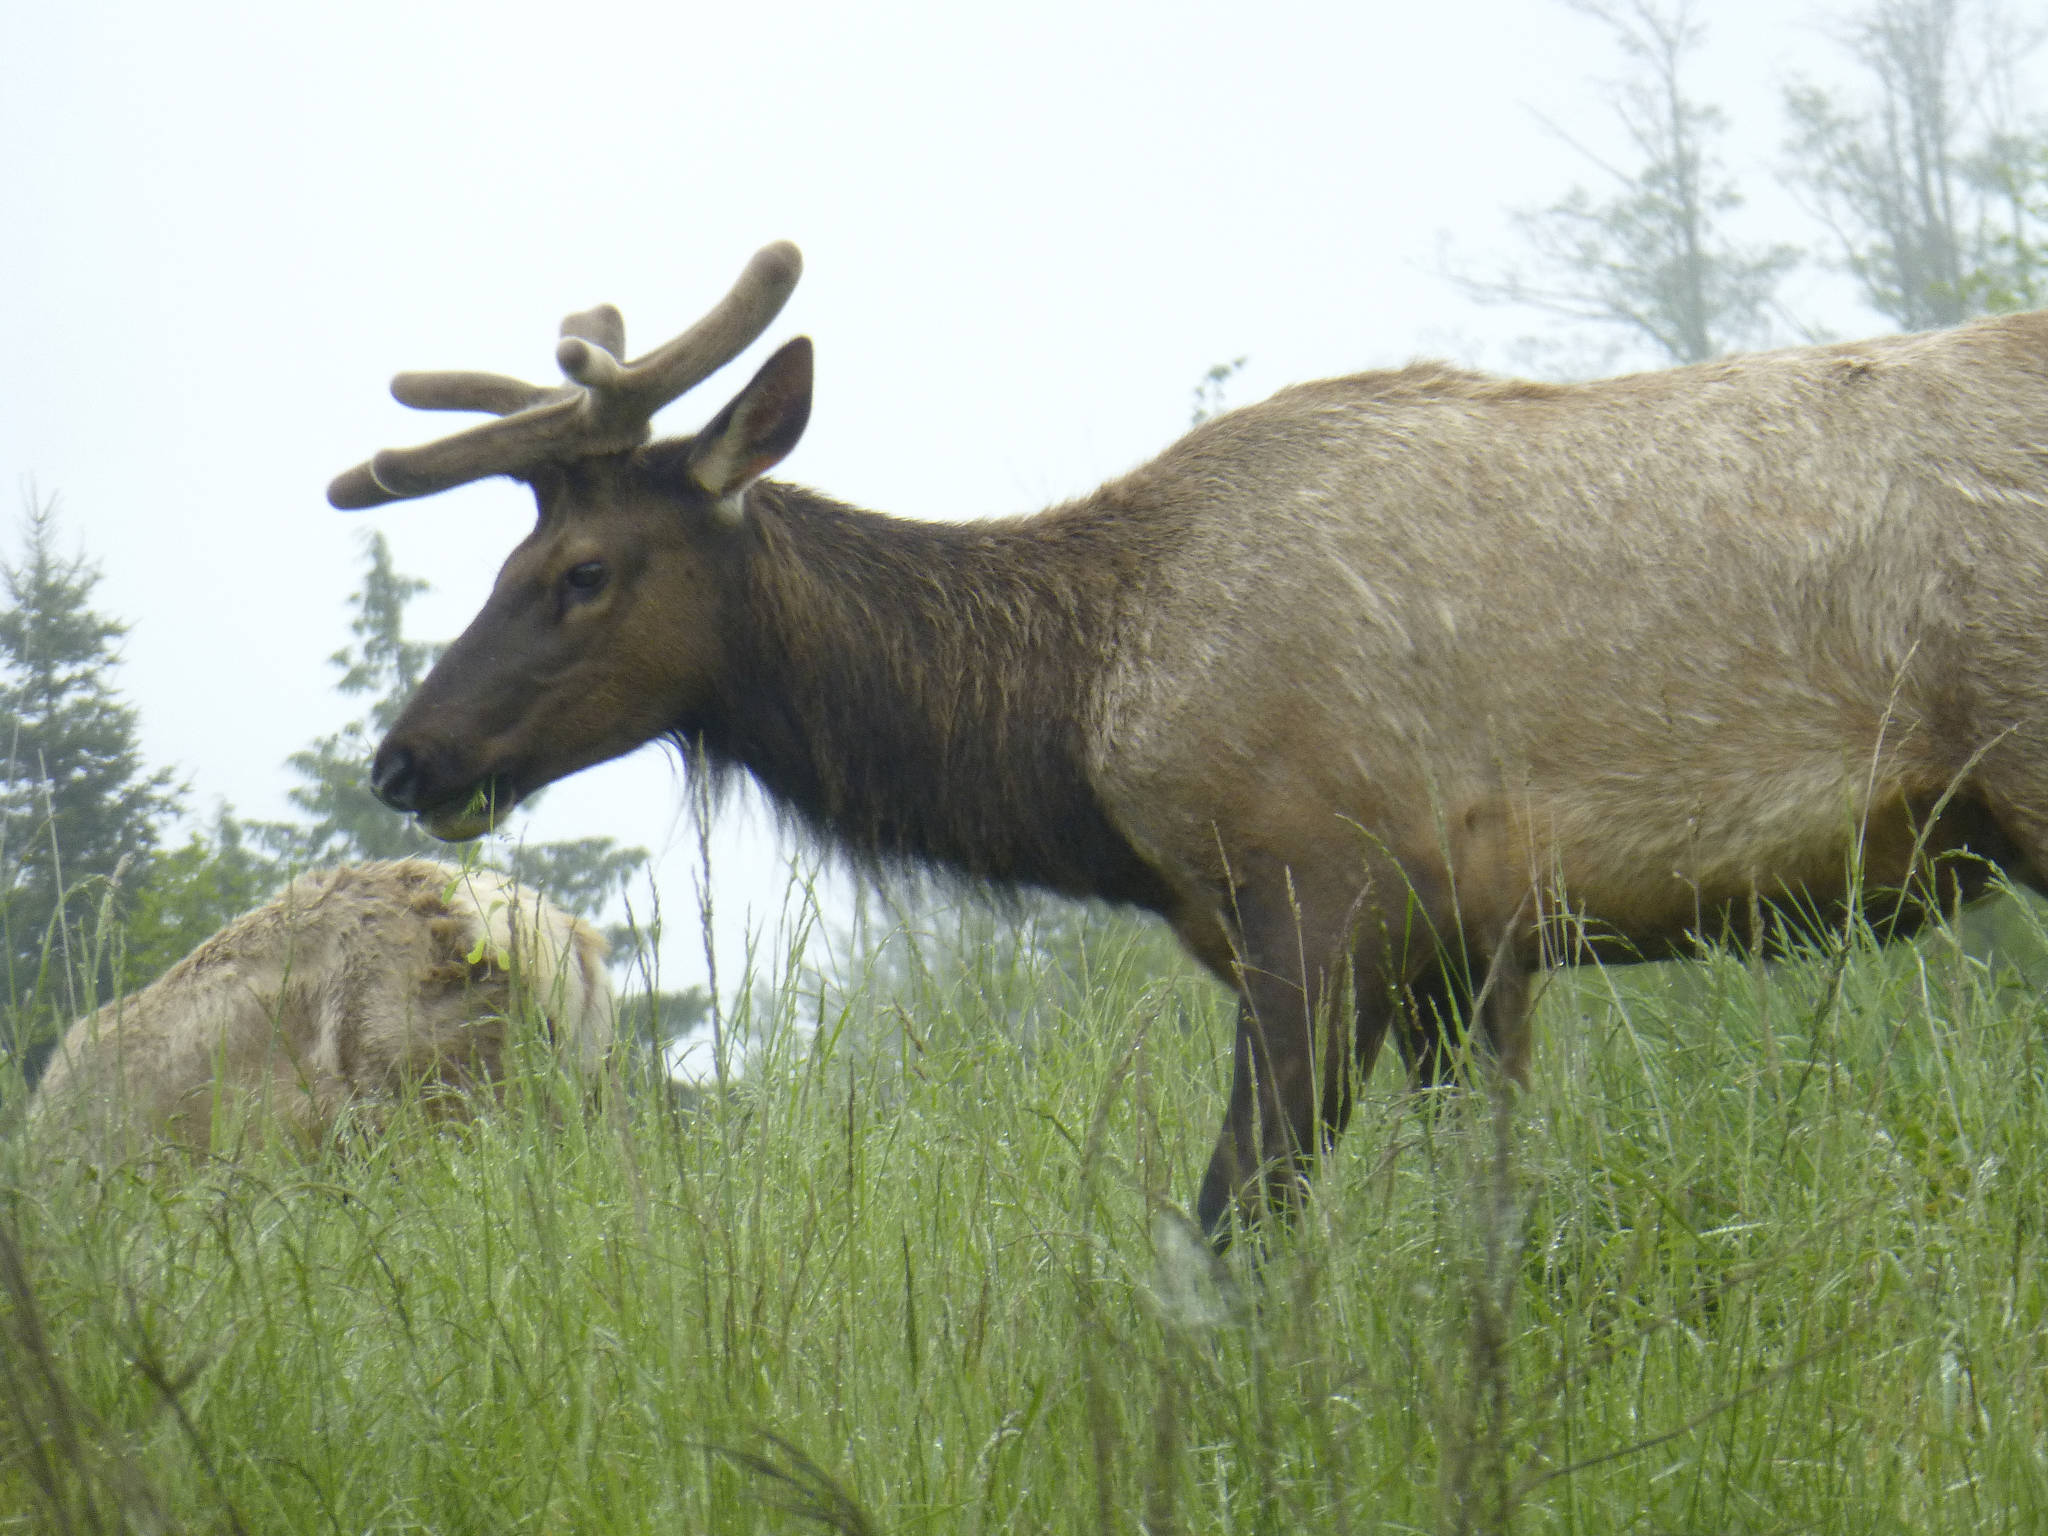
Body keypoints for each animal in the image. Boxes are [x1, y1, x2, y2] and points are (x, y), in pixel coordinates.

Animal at [327, 243, 2048, 1253]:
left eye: (581, 572)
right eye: (510, 556)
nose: (409, 759)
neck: (1080, 720)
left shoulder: (1320, 894)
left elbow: (1228, 1227)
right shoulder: (1466, 948)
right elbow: (1487, 1223)